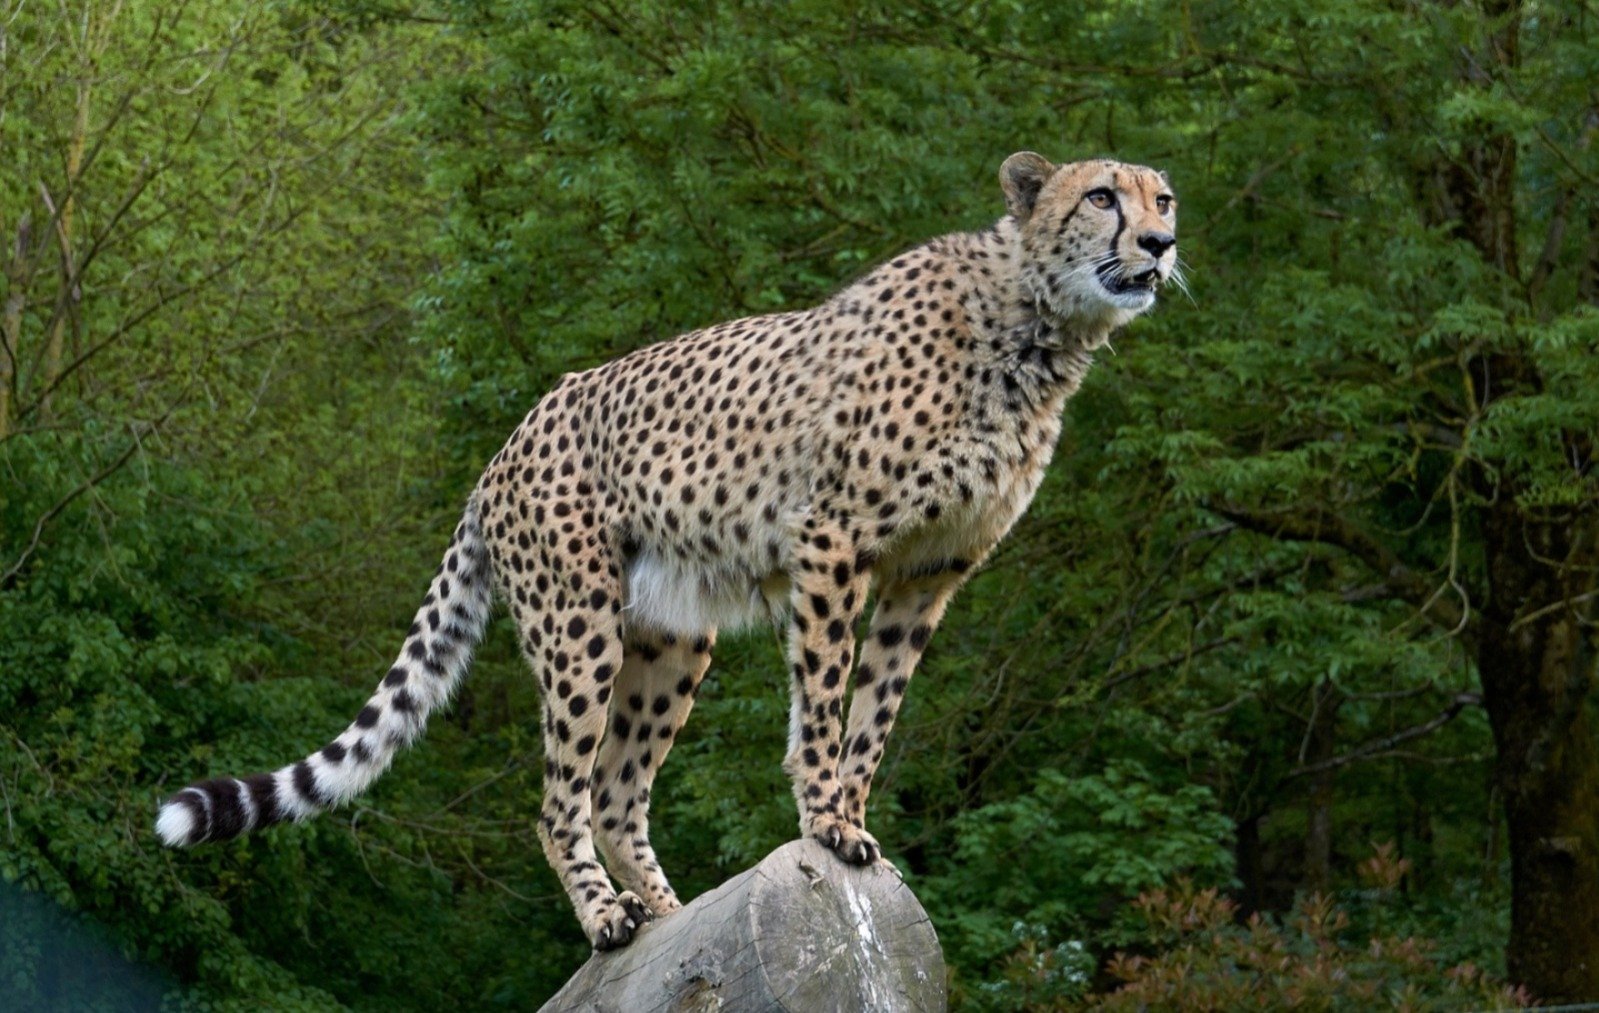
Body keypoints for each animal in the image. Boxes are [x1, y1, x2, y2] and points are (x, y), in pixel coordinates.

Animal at [156, 151, 1180, 951]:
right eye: (1101, 197)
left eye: (1162, 199)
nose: (1161, 246)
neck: (1036, 327)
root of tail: (505, 444)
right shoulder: (834, 538)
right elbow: (823, 699)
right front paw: (824, 819)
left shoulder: (928, 574)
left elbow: (875, 713)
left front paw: (849, 817)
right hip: (579, 622)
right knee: (559, 798)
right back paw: (608, 917)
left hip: (673, 635)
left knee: (615, 790)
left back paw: (671, 911)